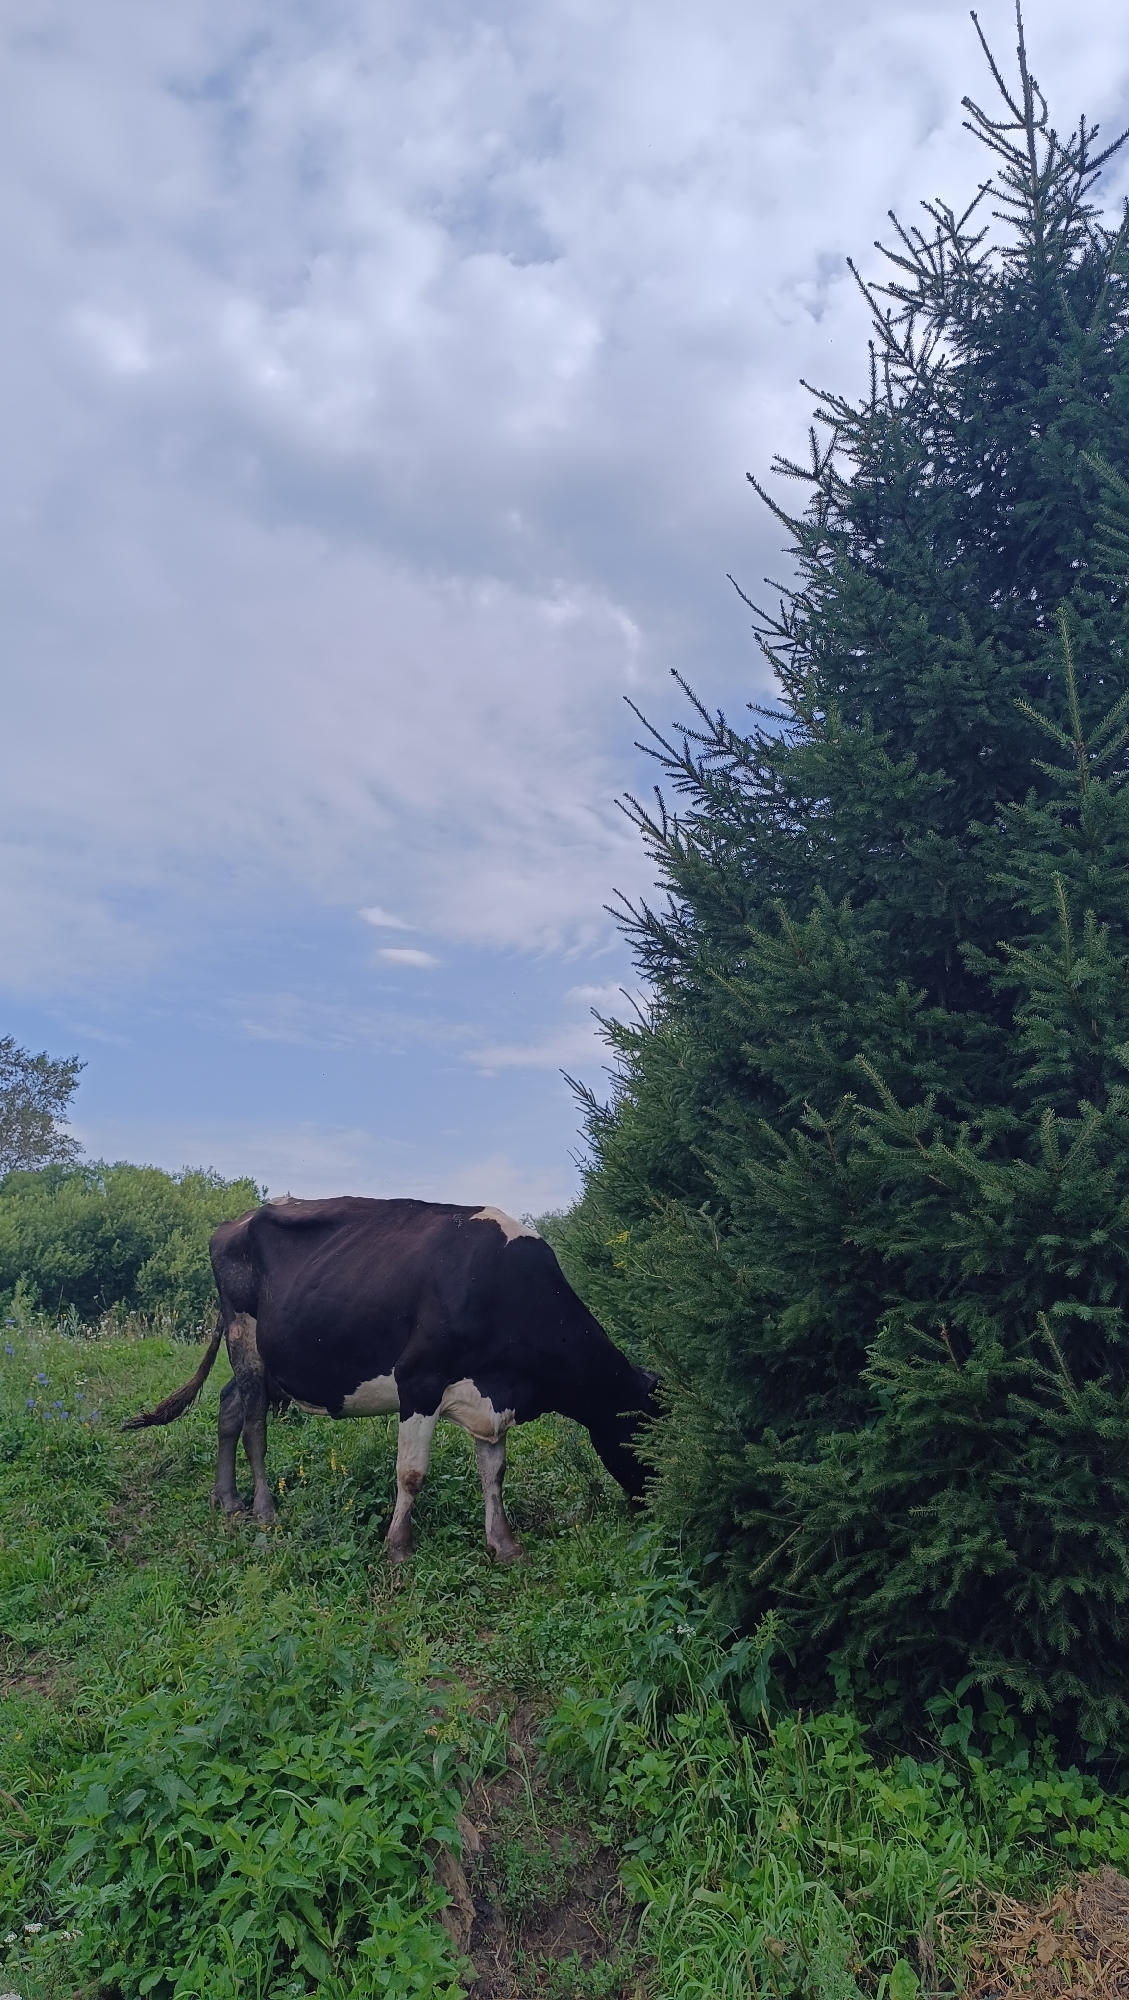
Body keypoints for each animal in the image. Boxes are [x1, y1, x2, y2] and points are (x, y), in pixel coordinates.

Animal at [124, 1196, 658, 1563]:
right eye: (646, 1435)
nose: (653, 1508)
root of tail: (232, 1223)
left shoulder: (490, 1395)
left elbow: (494, 1471)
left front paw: (504, 1544)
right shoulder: (419, 1381)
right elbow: (412, 1472)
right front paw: (398, 1546)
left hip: (261, 1359)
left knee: (229, 1405)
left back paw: (227, 1499)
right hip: (245, 1336)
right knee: (254, 1421)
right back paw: (263, 1508)